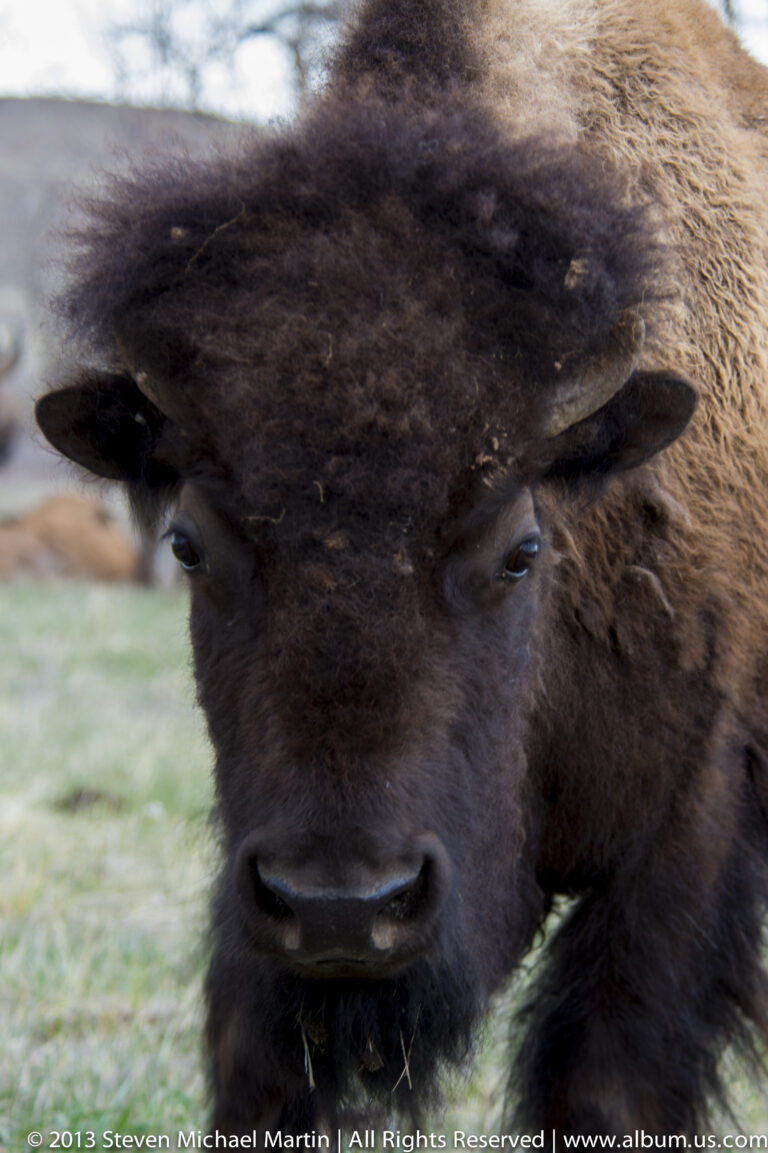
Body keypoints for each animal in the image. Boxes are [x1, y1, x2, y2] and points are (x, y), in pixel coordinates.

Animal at [36, 0, 768, 1141]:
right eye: (189, 544)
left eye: (521, 549)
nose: (344, 906)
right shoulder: (258, 907)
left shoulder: (684, 835)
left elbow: (606, 1083)